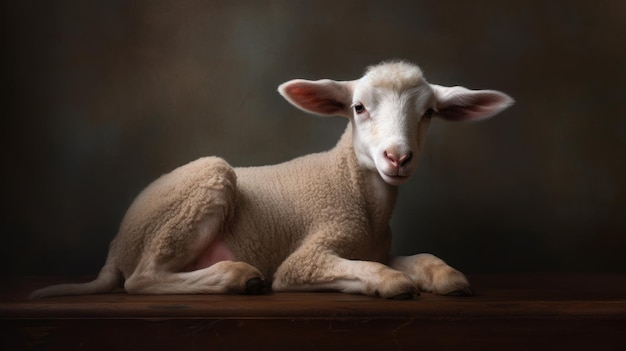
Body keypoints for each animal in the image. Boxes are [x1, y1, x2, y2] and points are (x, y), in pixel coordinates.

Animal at [30, 59, 512, 300]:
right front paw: (393, 284)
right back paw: (240, 277)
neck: (351, 188)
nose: (398, 157)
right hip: (202, 186)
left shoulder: (375, 246)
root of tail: (116, 246)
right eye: (358, 108)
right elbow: (376, 274)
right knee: (142, 279)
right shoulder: (310, 253)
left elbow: (422, 259)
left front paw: (446, 276)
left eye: (428, 112)